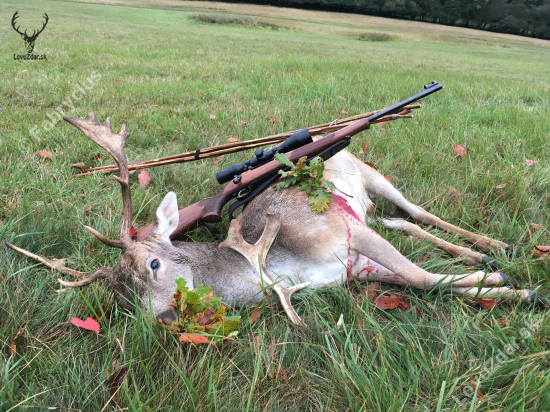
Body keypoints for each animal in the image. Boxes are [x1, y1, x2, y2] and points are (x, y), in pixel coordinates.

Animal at [5, 112, 548, 326]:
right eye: (121, 293)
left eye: (153, 266)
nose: (158, 320)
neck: (284, 265)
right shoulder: (355, 268)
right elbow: (435, 282)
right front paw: (507, 286)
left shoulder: (345, 233)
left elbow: (423, 277)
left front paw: (523, 288)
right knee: (404, 224)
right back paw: (487, 256)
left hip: (373, 174)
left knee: (417, 210)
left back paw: (494, 246)